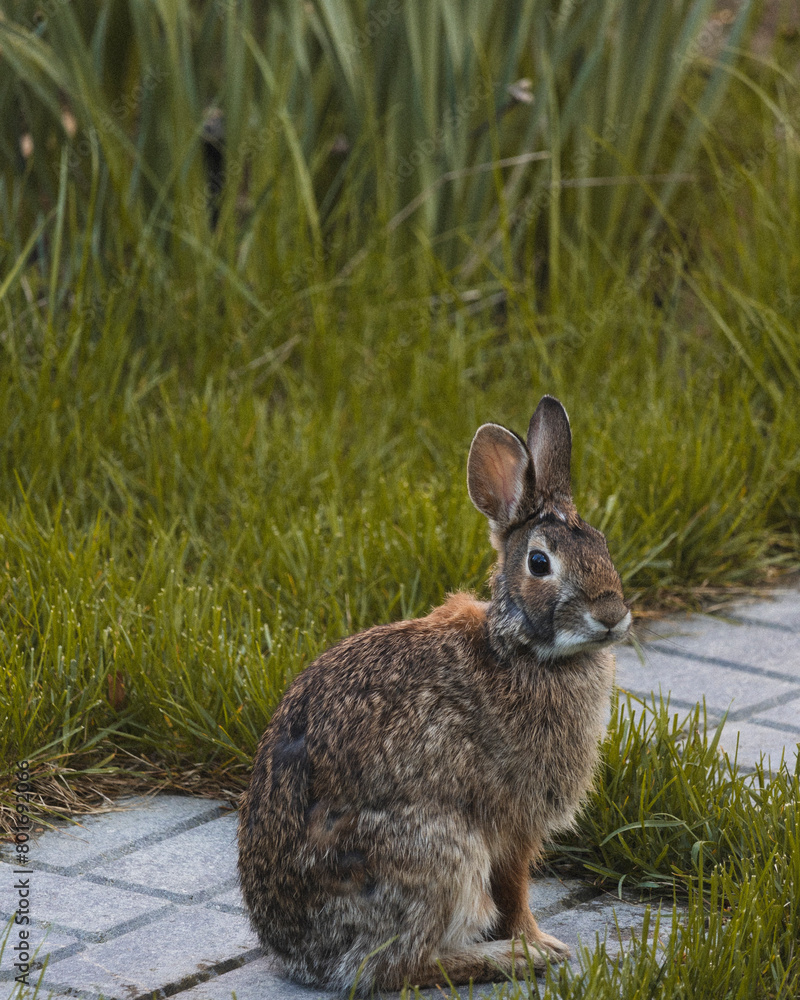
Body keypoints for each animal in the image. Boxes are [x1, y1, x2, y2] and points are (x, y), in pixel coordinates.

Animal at [238, 395, 631, 995]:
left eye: (603, 545)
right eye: (540, 563)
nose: (611, 615)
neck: (518, 647)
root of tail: (302, 955)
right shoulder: (512, 826)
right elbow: (514, 893)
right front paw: (539, 943)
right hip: (439, 855)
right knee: (397, 967)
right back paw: (508, 961)